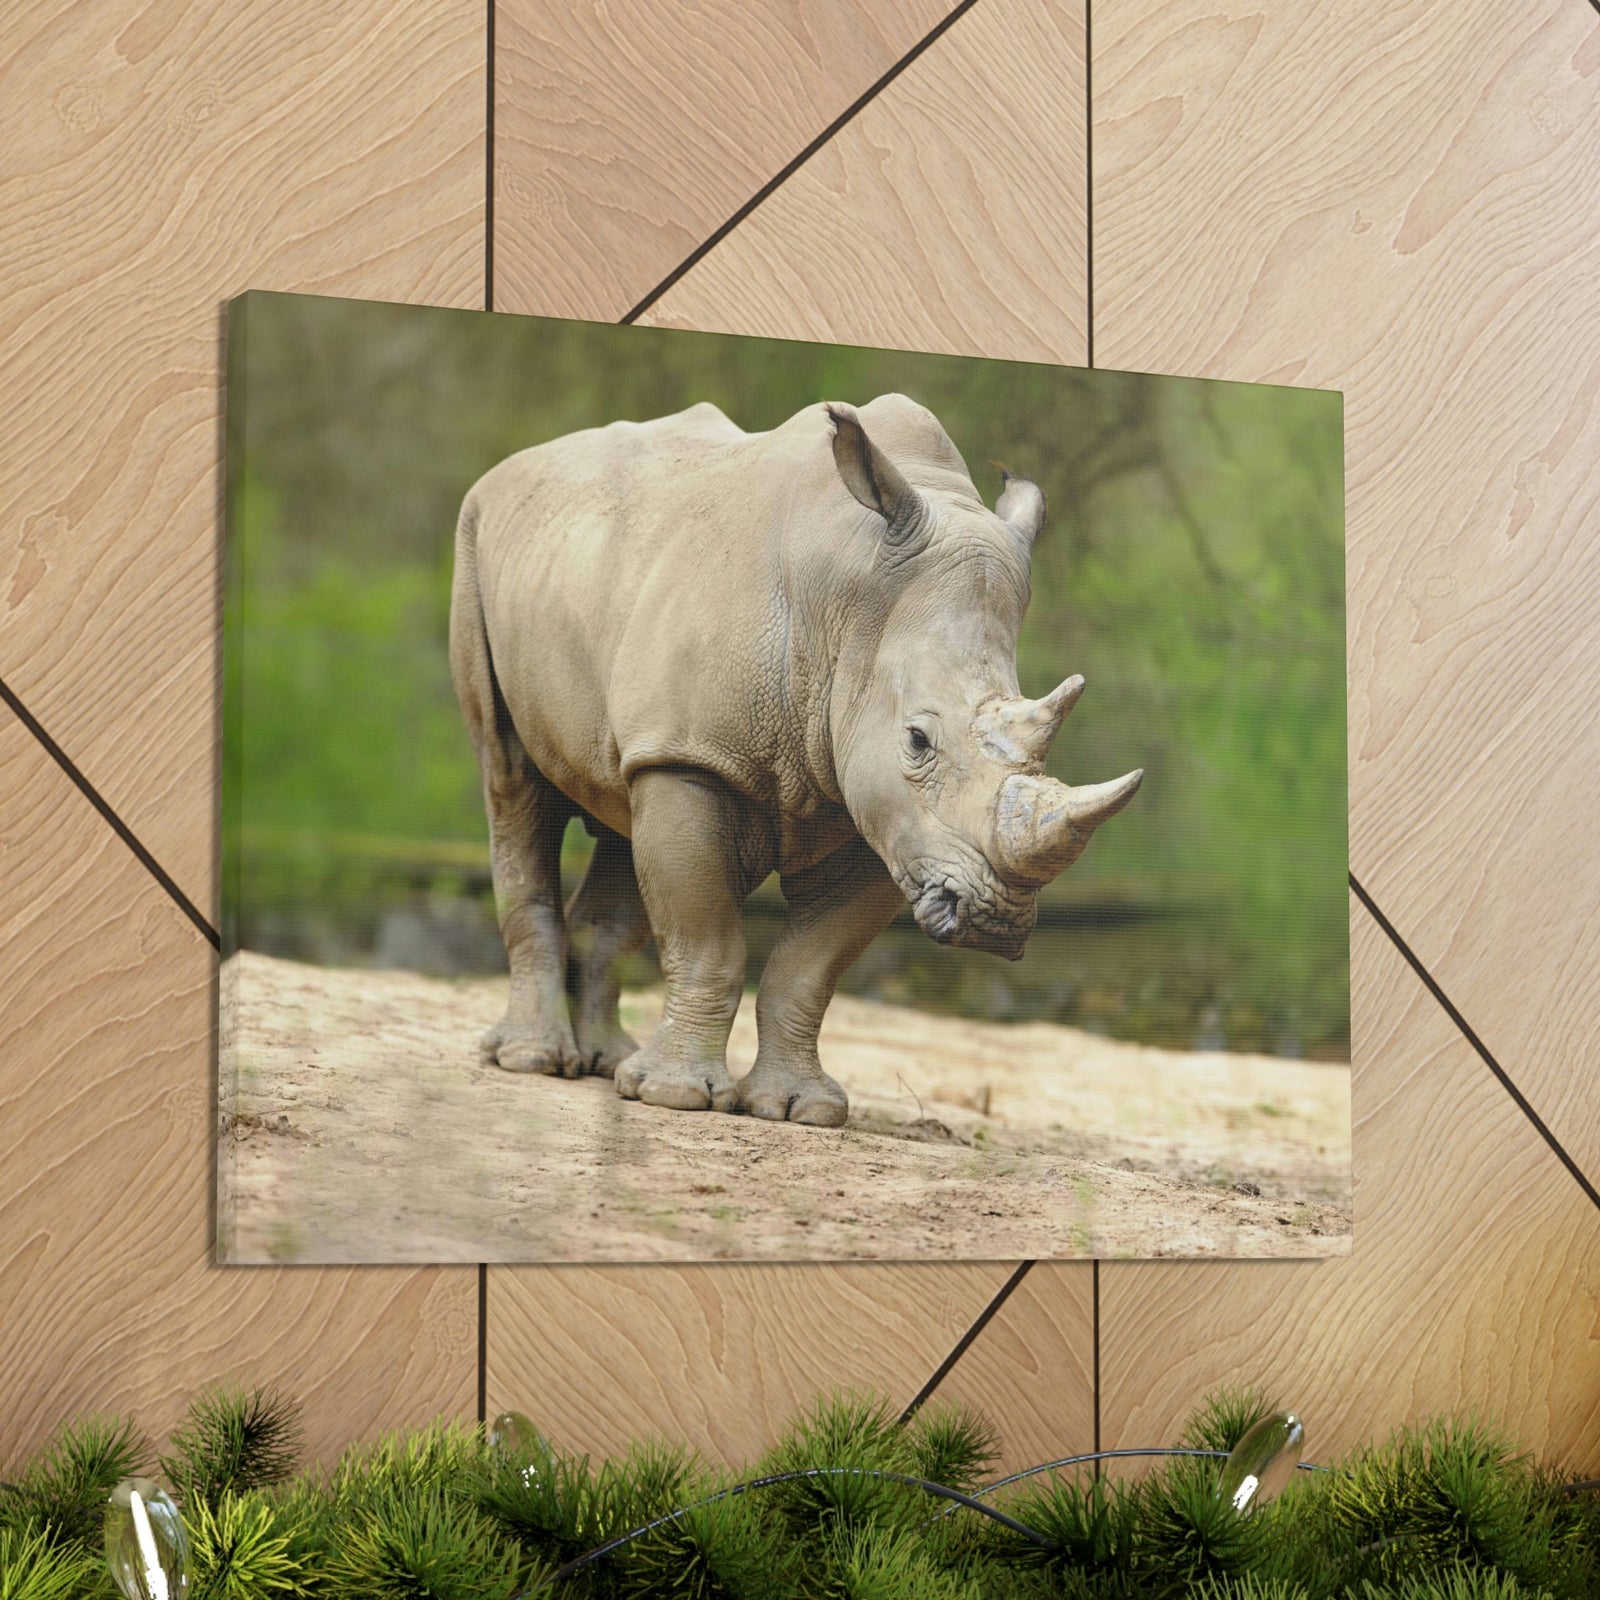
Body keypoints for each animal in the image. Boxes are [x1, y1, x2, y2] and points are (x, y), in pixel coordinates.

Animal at [449, 394, 1141, 1127]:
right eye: (918, 741)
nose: (994, 919)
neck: (853, 604)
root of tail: (516, 466)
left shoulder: (885, 817)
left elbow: (808, 969)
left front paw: (797, 1109)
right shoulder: (696, 756)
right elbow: (707, 940)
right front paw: (676, 1098)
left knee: (621, 815)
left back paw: (606, 1063)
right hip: (478, 541)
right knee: (513, 783)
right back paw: (534, 1061)